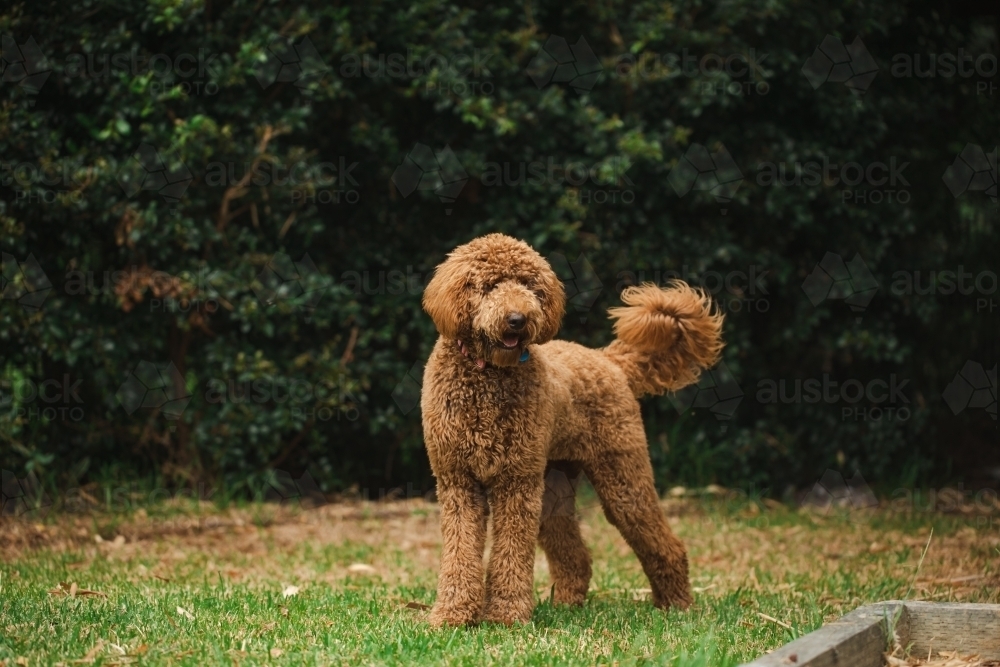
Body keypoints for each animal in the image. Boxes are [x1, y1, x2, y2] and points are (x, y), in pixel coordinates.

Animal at [418, 234, 724, 628]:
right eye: (489, 286)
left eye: (531, 286)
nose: (518, 319)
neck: (487, 375)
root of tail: (609, 360)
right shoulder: (457, 482)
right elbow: (459, 554)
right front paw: (453, 615)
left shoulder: (517, 483)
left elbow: (511, 553)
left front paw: (506, 616)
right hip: (554, 484)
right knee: (574, 554)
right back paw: (567, 604)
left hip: (622, 478)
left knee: (662, 542)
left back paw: (677, 605)